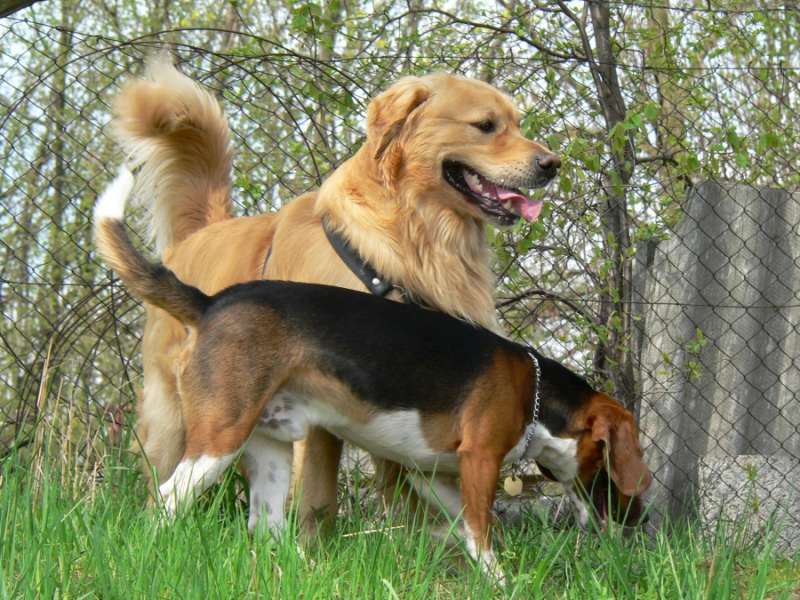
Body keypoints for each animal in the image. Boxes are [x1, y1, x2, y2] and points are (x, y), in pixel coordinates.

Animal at [95, 168, 651, 580]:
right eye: (610, 462)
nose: (640, 522)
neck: (535, 390)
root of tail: (209, 303)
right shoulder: (479, 461)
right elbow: (483, 534)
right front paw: (502, 583)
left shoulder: (430, 475)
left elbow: (458, 529)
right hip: (218, 439)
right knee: (165, 504)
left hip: (270, 453)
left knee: (266, 529)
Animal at [111, 59, 561, 530]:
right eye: (486, 126)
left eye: (517, 122)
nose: (553, 164)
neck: (411, 238)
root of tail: (200, 234)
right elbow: (317, 496)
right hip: (176, 415)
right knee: (162, 487)